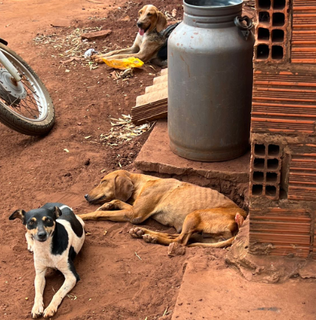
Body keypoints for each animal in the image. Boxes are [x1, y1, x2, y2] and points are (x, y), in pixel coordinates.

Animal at [79, 170, 247, 252]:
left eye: (103, 181)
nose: (85, 195)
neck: (142, 182)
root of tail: (243, 219)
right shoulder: (134, 210)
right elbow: (117, 201)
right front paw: (108, 205)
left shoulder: (134, 215)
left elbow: (98, 213)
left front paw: (81, 215)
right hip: (200, 232)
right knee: (177, 237)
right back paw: (143, 233)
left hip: (194, 215)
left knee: (179, 241)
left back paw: (150, 236)